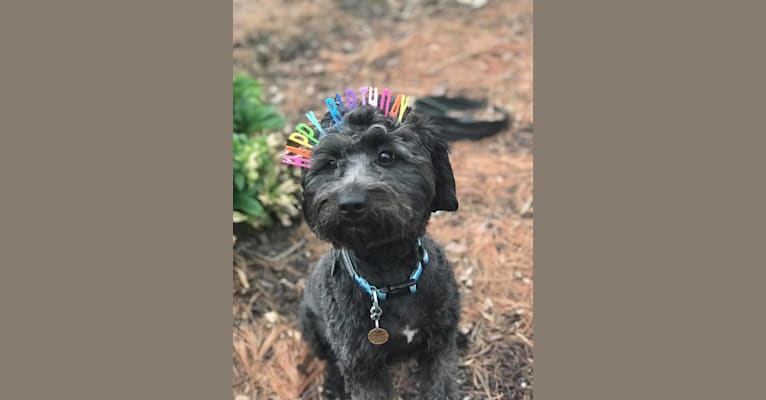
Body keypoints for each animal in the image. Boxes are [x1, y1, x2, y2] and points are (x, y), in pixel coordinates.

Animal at [296, 104, 460, 398]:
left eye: (386, 155)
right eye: (331, 163)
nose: (350, 203)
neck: (391, 278)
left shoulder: (440, 347)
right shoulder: (362, 367)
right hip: (311, 330)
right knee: (329, 360)